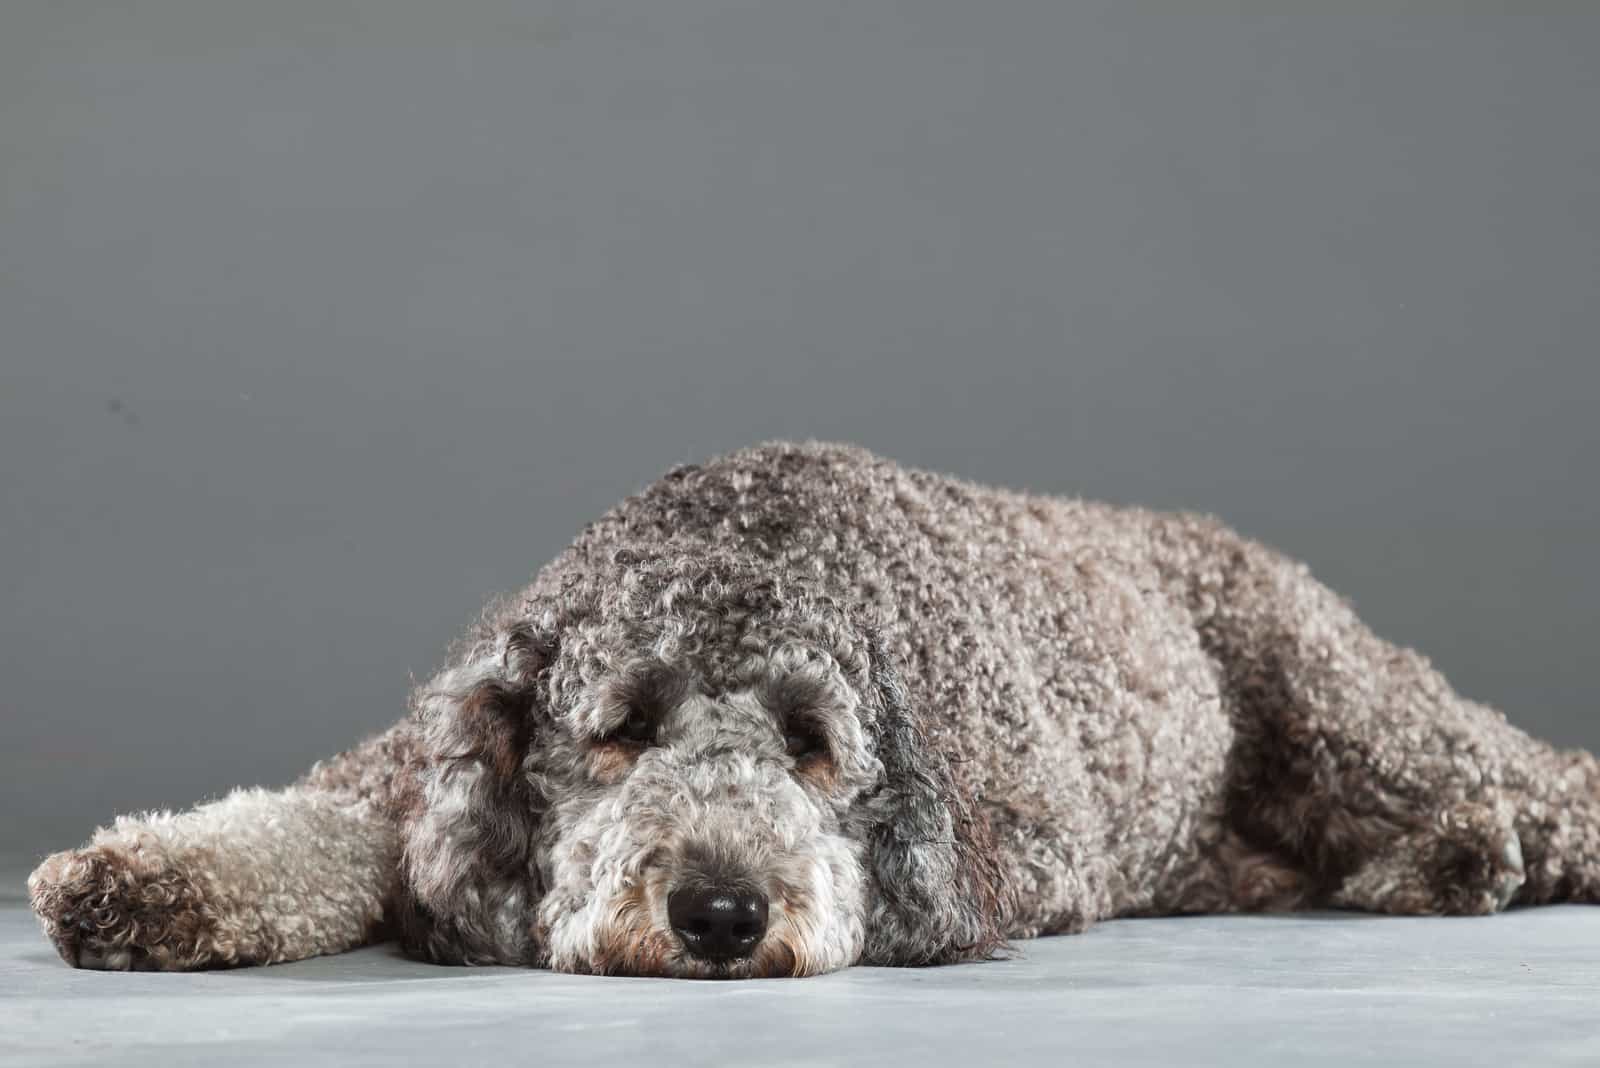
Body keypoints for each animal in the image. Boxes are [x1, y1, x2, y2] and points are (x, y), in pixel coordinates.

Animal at [28, 441, 1600, 978]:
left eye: (813, 747)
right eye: (619, 726)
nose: (722, 916)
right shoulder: (411, 779)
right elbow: (300, 827)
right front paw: (144, 880)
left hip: (1336, 696)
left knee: (1532, 776)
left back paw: (1472, 851)